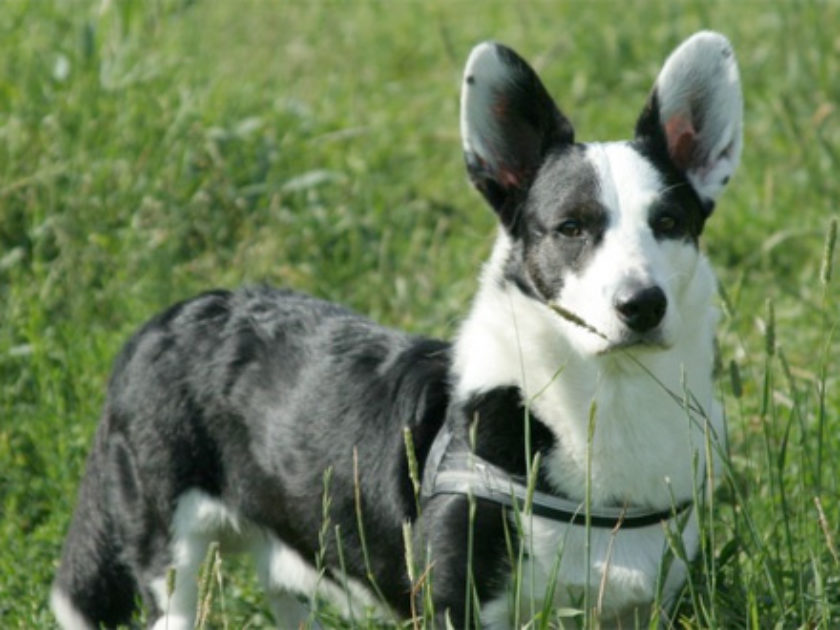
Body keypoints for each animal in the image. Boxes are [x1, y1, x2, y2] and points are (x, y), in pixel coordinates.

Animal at [52, 30, 740, 630]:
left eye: (669, 222)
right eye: (572, 227)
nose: (642, 305)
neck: (606, 398)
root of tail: (160, 323)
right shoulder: (457, 606)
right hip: (172, 560)